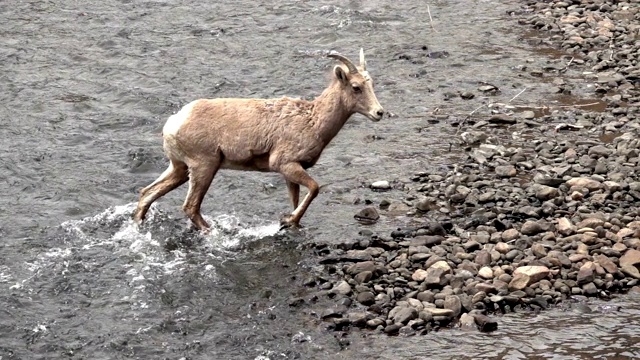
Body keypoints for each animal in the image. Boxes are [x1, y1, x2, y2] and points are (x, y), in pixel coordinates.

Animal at [134, 48, 384, 231]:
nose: (379, 112)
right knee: (190, 207)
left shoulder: (290, 172)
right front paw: (289, 220)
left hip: (180, 168)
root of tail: (173, 123)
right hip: (203, 166)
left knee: (147, 193)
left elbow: (296, 198)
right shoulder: (285, 164)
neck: (313, 121)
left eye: (371, 84)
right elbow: (314, 188)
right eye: (356, 87)